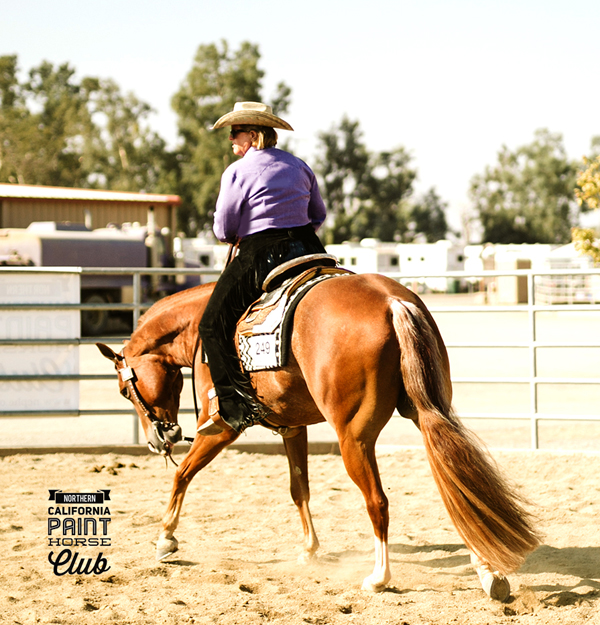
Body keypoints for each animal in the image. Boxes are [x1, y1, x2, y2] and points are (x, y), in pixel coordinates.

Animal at [97, 272, 540, 600]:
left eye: (122, 390)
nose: (158, 439)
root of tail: (392, 302)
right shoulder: (293, 427)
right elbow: (299, 488)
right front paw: (309, 549)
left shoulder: (222, 426)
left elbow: (182, 474)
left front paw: (165, 539)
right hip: (429, 411)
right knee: (460, 485)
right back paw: (489, 573)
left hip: (353, 438)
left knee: (378, 502)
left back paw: (379, 578)